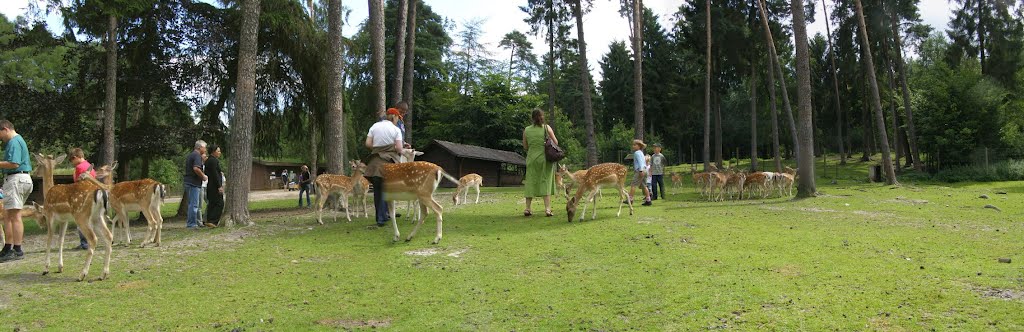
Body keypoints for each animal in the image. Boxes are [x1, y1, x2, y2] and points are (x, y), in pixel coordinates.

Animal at [31, 152, 114, 280]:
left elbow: (49, 239)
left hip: (81, 215)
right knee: (109, 236)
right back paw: (104, 274)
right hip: (97, 216)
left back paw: (82, 274)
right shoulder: (64, 220)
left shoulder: (50, 216)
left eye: (38, 164)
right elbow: (61, 240)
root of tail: (100, 192)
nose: (34, 173)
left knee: (93, 238)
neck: (48, 192)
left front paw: (46, 268)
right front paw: (60, 267)